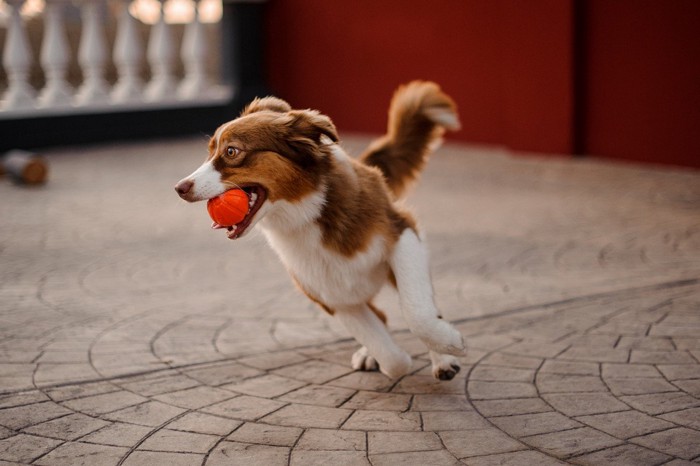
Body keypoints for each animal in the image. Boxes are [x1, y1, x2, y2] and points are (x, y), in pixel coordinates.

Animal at [176, 81, 464, 378]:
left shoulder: (402, 231)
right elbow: (391, 358)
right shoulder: (329, 295)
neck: (305, 213)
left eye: (231, 151)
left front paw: (450, 343)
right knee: (381, 317)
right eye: (210, 152)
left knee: (426, 306)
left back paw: (442, 357)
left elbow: (417, 312)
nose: (180, 188)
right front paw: (393, 359)